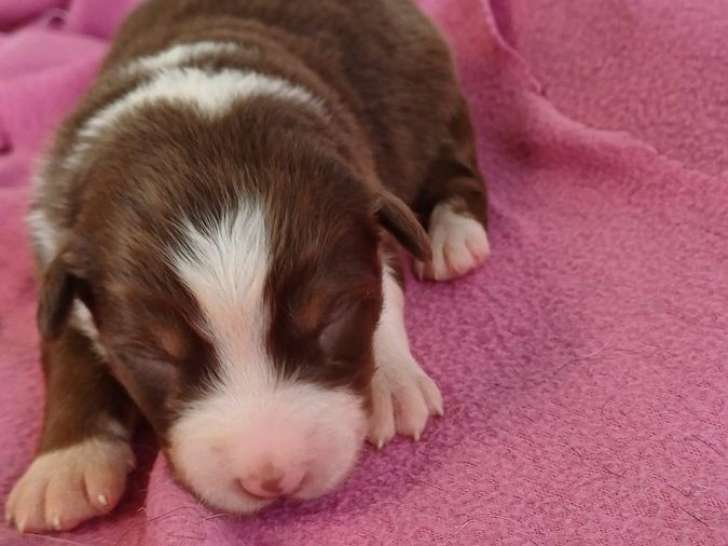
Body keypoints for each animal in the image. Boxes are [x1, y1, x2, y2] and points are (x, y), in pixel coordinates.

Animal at [4, 0, 490, 532]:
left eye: (333, 320)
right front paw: (63, 466)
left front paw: (394, 382)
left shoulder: (373, 204)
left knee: (454, 162)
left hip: (427, 94)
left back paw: (453, 235)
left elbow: (387, 293)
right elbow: (67, 352)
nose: (272, 478)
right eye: (151, 356)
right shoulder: (57, 244)